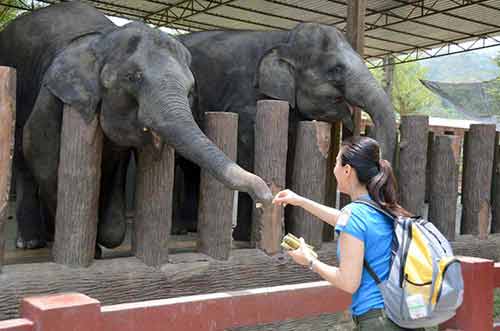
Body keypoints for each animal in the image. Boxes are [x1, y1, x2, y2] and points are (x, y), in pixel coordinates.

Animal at [0, 1, 274, 252]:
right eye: (133, 77)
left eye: (190, 90)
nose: (269, 198)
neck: (104, 37)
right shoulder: (54, 95)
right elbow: (40, 151)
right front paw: (75, 240)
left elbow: (114, 171)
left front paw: (98, 243)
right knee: (23, 153)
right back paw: (31, 242)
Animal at [178, 24, 396, 241]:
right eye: (336, 69)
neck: (285, 37)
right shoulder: (246, 101)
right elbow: (248, 151)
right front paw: (243, 237)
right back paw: (183, 230)